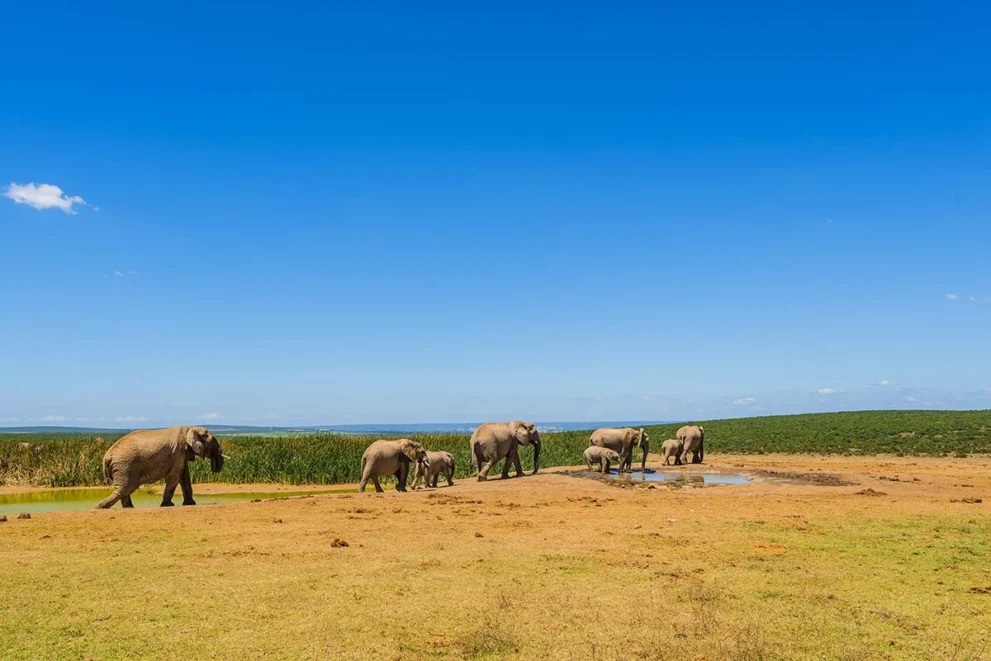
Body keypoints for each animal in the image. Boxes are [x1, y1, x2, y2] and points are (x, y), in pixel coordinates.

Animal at [97, 426, 226, 509]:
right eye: (213, 440)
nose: (215, 467)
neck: (190, 428)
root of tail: (106, 456)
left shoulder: (181, 454)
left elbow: (184, 475)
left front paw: (190, 504)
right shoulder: (178, 451)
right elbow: (176, 475)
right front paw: (168, 505)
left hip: (124, 466)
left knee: (125, 489)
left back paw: (128, 508)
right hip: (125, 465)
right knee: (126, 488)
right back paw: (100, 507)